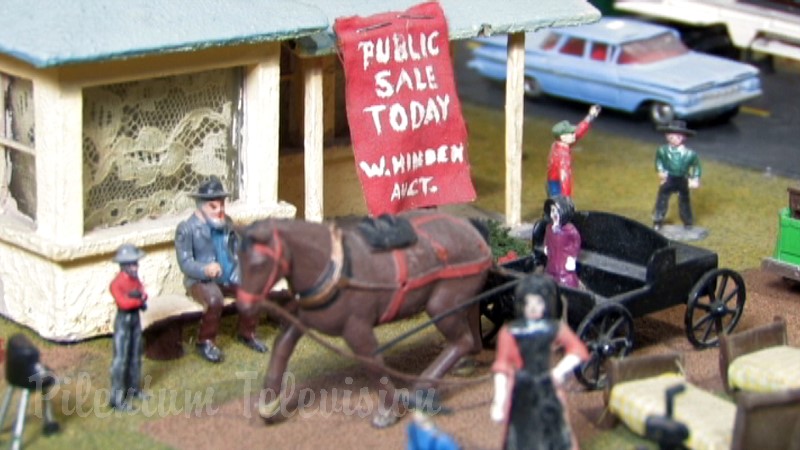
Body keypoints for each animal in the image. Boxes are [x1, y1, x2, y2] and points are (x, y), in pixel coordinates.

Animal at [234, 209, 490, 428]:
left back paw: (420, 387)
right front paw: (269, 405)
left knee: (463, 340)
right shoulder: (302, 318)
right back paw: (462, 364)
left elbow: (373, 364)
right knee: (471, 338)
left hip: (441, 305)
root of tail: (473, 231)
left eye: (259, 264)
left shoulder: (357, 328)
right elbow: (282, 347)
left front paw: (388, 412)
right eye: (237, 258)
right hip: (461, 302)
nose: (244, 306)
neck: (334, 265)